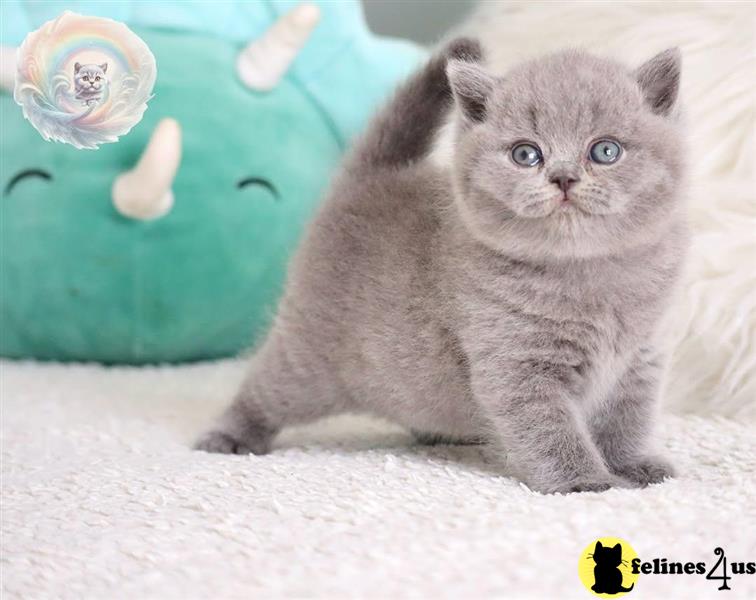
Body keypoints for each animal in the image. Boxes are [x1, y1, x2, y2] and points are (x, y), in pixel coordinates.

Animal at [193, 39, 684, 494]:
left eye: (605, 151)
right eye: (526, 155)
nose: (563, 177)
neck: (589, 275)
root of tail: (370, 178)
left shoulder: (640, 360)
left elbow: (626, 422)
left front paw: (634, 466)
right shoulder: (518, 368)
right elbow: (552, 431)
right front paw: (585, 480)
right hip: (311, 356)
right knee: (266, 388)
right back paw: (229, 436)